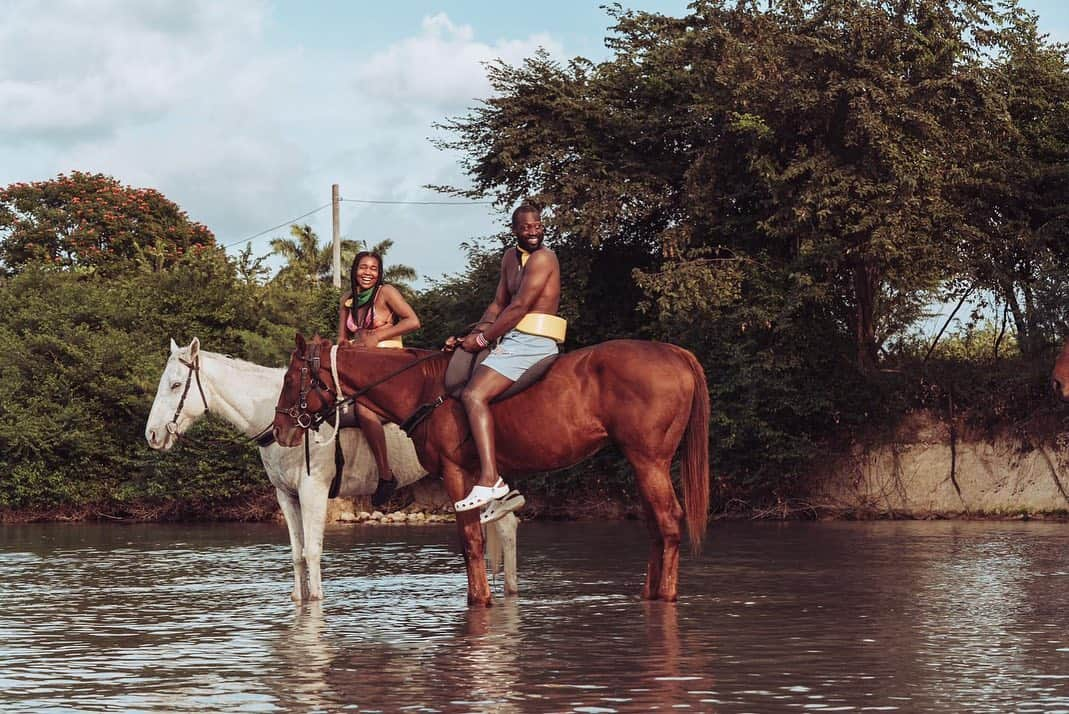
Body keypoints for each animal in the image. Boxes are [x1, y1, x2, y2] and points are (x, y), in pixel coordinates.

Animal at [144, 337, 519, 598]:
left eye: (175, 385)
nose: (152, 434)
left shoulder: (314, 491)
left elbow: (312, 552)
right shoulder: (286, 496)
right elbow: (297, 555)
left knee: (506, 525)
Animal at [275, 331, 709, 607]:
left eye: (291, 377)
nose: (280, 430)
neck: (423, 387)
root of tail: (675, 353)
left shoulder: (455, 473)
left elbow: (471, 541)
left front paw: (479, 599)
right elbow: (476, 540)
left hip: (649, 461)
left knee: (670, 522)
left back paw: (666, 594)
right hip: (643, 463)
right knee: (656, 527)